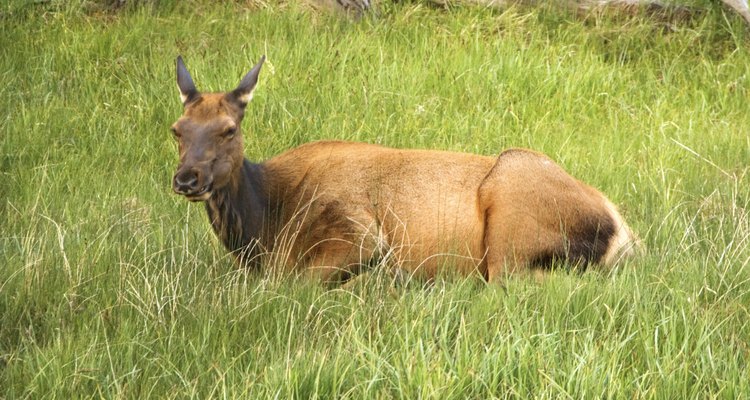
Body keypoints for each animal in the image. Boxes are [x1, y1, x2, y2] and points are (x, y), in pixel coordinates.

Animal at [172, 54, 640, 282]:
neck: (267, 220)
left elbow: (298, 282)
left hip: (512, 219)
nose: (187, 178)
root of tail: (621, 229)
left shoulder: (360, 232)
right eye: (177, 129)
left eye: (229, 129)